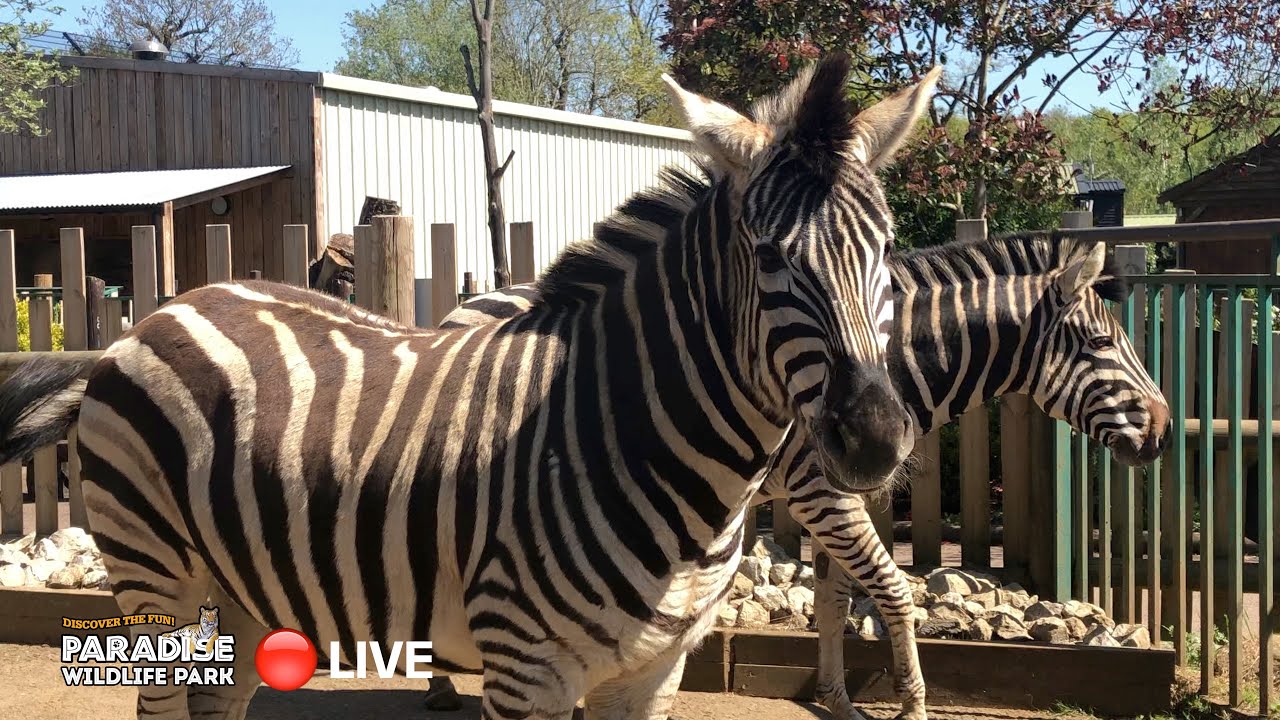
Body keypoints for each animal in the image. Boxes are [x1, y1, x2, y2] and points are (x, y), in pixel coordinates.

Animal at [0, 55, 937, 720]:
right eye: (770, 256)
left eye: (887, 248)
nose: (876, 438)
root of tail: (160, 312)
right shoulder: (527, 667)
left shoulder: (652, 672)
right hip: (155, 573)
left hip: (243, 585)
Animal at [429, 230, 1170, 720]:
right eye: (1102, 343)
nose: (1164, 431)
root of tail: (468, 301)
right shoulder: (820, 492)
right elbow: (892, 592)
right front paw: (911, 705)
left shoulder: (837, 494)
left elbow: (834, 602)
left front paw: (837, 700)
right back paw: (437, 685)